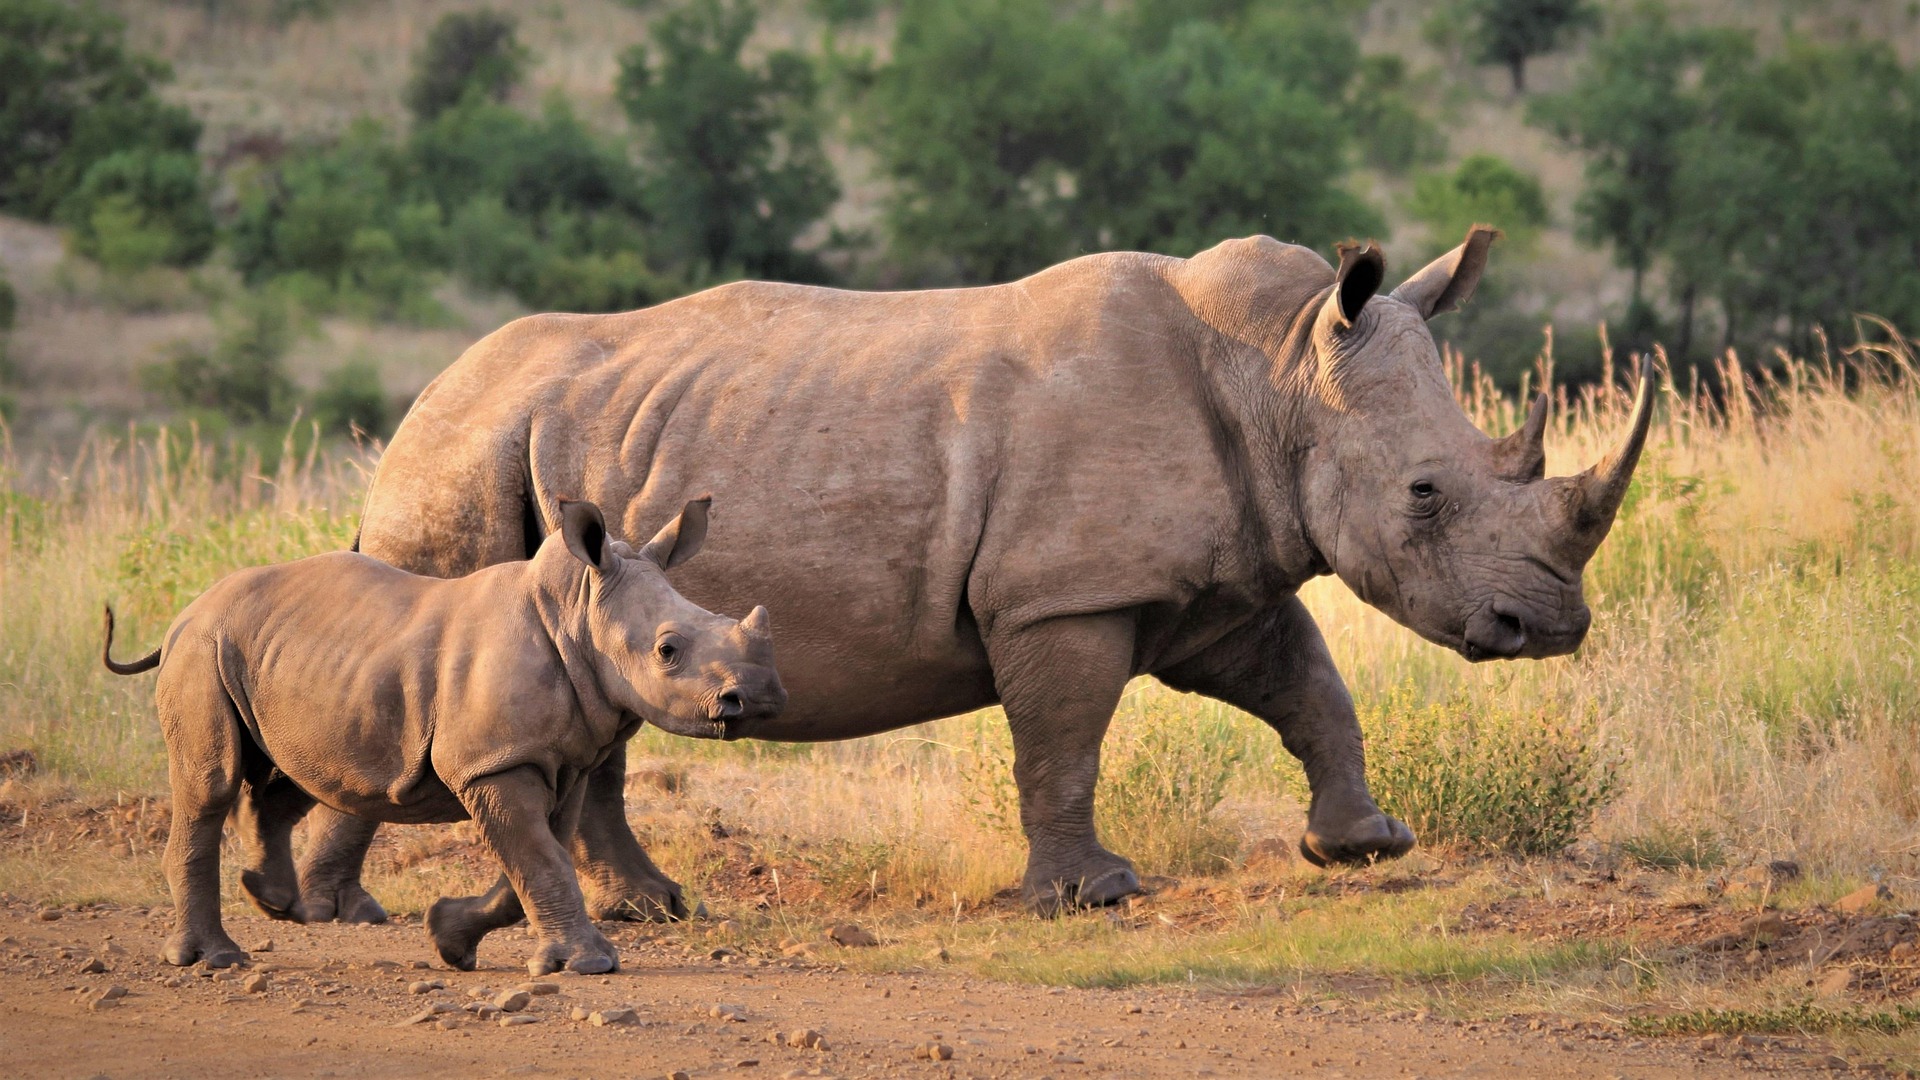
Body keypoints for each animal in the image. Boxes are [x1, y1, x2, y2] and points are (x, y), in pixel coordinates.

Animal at [104, 498, 785, 973]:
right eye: (668, 651)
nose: (760, 697)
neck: (577, 611)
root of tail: (183, 615)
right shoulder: (493, 763)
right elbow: (540, 859)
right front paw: (591, 964)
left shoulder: (556, 761)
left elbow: (537, 860)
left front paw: (449, 938)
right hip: (203, 649)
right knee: (211, 784)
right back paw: (216, 958)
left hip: (279, 658)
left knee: (297, 772)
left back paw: (273, 902)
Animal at [289, 227, 1653, 922]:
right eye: (1425, 494)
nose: (1550, 624)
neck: (1278, 371)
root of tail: (423, 398)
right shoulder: (1065, 594)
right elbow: (1064, 740)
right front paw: (1091, 898)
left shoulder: (1215, 582)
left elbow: (1310, 686)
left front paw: (1364, 847)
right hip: (464, 461)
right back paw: (336, 913)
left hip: (557, 457)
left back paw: (651, 911)